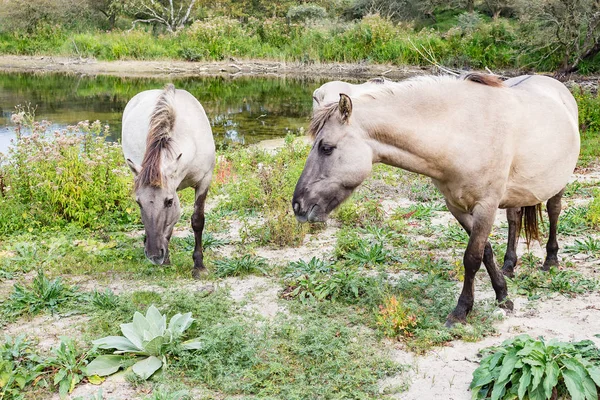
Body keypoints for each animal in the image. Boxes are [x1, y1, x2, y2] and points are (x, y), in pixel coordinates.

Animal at [122, 84, 216, 278]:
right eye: (138, 203)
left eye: (168, 201)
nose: (154, 254)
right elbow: (171, 221)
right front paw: (165, 259)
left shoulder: (204, 180)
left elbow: (197, 220)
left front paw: (199, 266)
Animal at [292, 73, 580, 326]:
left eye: (326, 148)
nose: (298, 205)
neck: (464, 133)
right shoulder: (457, 207)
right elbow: (485, 251)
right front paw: (503, 295)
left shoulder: (485, 206)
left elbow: (472, 258)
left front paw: (461, 312)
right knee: (514, 218)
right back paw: (510, 265)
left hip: (558, 184)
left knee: (554, 211)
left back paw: (551, 260)